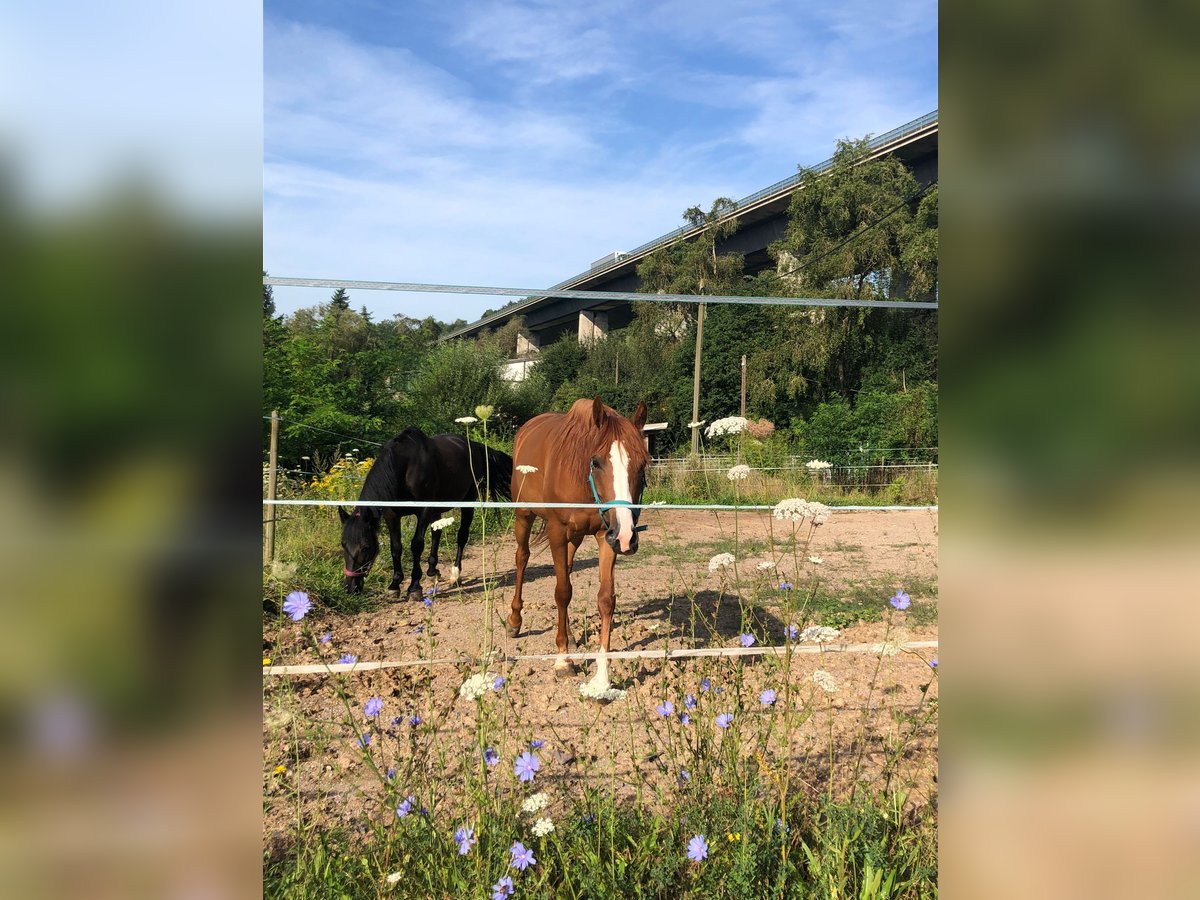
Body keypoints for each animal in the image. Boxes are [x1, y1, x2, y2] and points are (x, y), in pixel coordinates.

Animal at [338, 427, 511, 600]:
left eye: (365, 547)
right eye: (343, 544)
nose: (350, 588)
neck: (404, 468)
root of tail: (474, 445)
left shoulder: (423, 511)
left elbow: (416, 545)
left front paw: (414, 587)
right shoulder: (391, 515)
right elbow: (396, 548)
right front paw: (395, 585)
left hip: (467, 501)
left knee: (462, 536)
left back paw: (455, 575)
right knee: (437, 533)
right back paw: (432, 570)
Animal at [511, 396, 652, 696]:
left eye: (642, 465)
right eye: (596, 462)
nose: (628, 537)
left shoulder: (605, 534)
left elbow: (605, 599)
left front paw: (602, 676)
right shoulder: (557, 530)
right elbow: (562, 592)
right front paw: (563, 661)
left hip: (576, 538)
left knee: (566, 567)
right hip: (524, 515)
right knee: (522, 558)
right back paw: (514, 621)